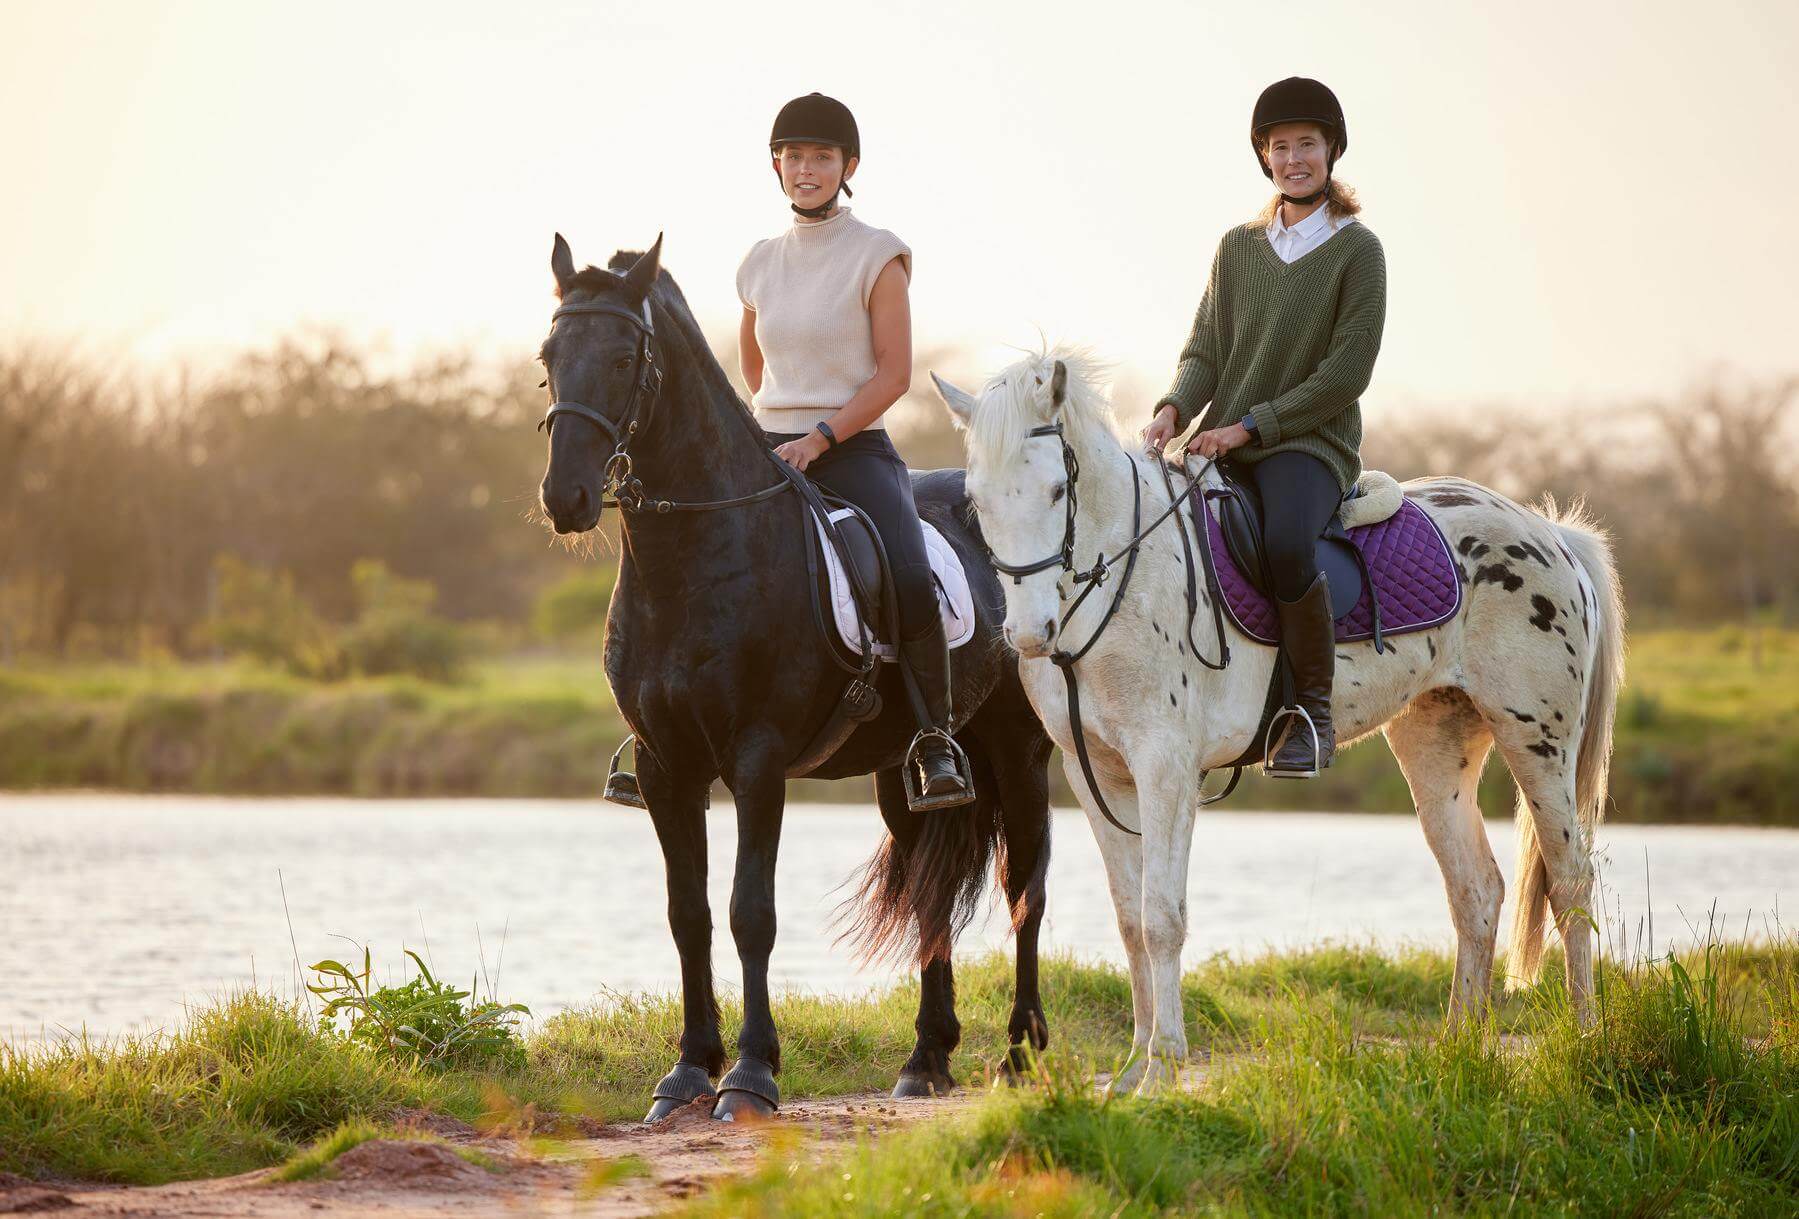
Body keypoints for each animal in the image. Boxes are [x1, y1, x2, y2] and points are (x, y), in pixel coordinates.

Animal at [535, 235, 1055, 1120]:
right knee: (929, 887)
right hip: (906, 770)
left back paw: (1019, 1052)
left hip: (1019, 748)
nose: (564, 497)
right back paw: (926, 1058)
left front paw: (749, 1073)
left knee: (1026, 884)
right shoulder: (666, 766)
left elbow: (750, 911)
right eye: (549, 357)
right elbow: (687, 913)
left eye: (623, 357)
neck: (696, 555)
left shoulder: (758, 759)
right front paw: (686, 1069)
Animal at [933, 349, 1625, 1094]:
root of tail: (1548, 533)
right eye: (977, 500)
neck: (1121, 579)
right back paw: (1456, 1049)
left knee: (1569, 883)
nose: (1029, 635)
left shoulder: (1165, 769)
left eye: (1059, 489)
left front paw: (1163, 1064)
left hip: (1536, 743)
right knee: (1476, 890)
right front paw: (1131, 1068)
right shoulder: (1099, 777)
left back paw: (1586, 1041)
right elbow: (1128, 919)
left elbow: (1162, 917)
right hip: (1435, 745)